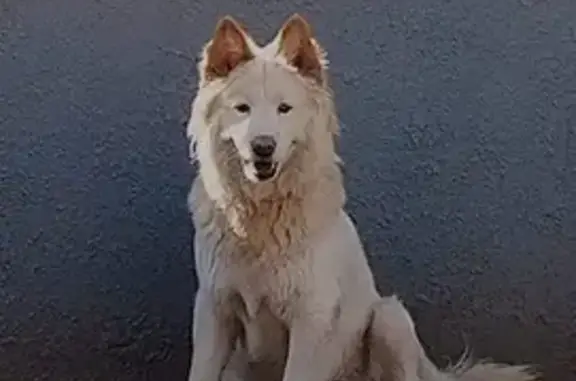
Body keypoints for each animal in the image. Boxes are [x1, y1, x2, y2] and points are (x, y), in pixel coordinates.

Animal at [186, 13, 540, 380]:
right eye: (242, 108)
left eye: (285, 108)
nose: (263, 147)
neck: (260, 214)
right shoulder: (213, 309)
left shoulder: (310, 319)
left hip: (390, 317)